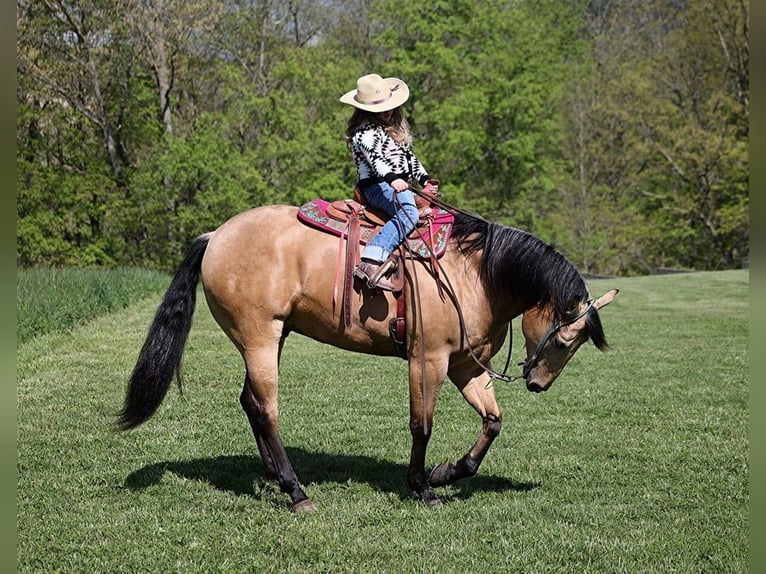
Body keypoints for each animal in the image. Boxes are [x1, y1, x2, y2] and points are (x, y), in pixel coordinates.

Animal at [118, 203, 618, 512]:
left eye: (574, 345)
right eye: (563, 341)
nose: (537, 384)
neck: (474, 274)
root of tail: (216, 235)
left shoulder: (464, 365)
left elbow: (492, 422)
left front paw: (446, 473)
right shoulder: (428, 360)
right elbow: (422, 426)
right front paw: (422, 488)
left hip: (273, 337)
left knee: (250, 403)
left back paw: (274, 475)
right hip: (259, 337)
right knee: (266, 409)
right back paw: (296, 491)